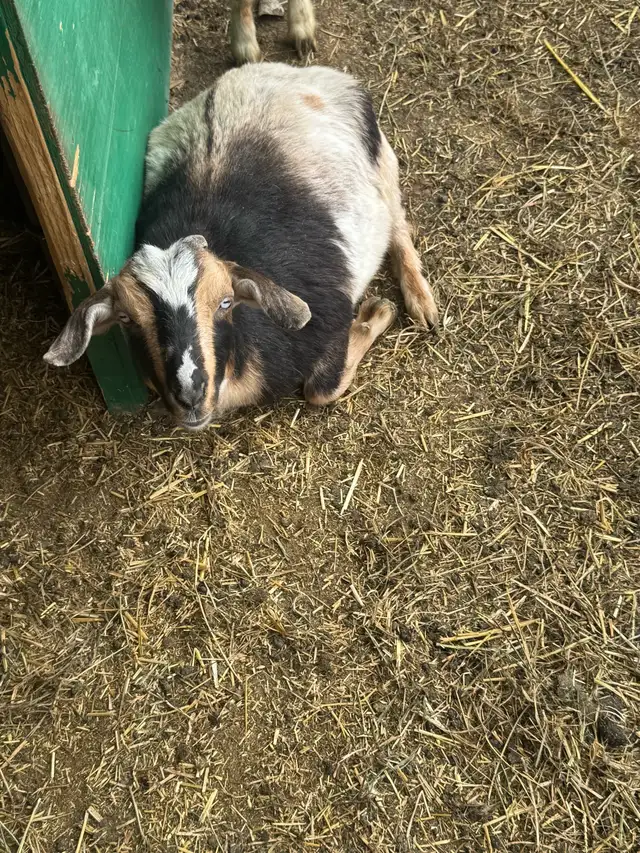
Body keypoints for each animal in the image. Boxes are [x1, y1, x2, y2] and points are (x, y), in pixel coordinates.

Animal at [44, 63, 438, 431]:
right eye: (126, 319)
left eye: (226, 302)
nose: (190, 394)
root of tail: (289, 71)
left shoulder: (329, 312)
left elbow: (321, 388)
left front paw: (377, 312)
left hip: (381, 161)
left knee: (397, 222)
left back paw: (421, 302)